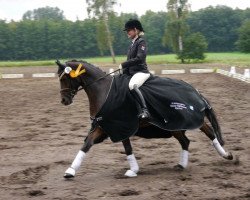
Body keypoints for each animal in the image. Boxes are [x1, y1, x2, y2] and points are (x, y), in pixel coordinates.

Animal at [55, 59, 233, 178]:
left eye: (64, 78)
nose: (64, 100)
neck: (104, 92)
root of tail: (196, 92)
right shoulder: (104, 126)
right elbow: (86, 145)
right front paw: (70, 171)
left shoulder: (121, 125)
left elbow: (127, 148)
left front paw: (132, 170)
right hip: (174, 125)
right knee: (185, 141)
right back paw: (182, 164)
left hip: (190, 119)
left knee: (210, 132)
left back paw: (227, 156)